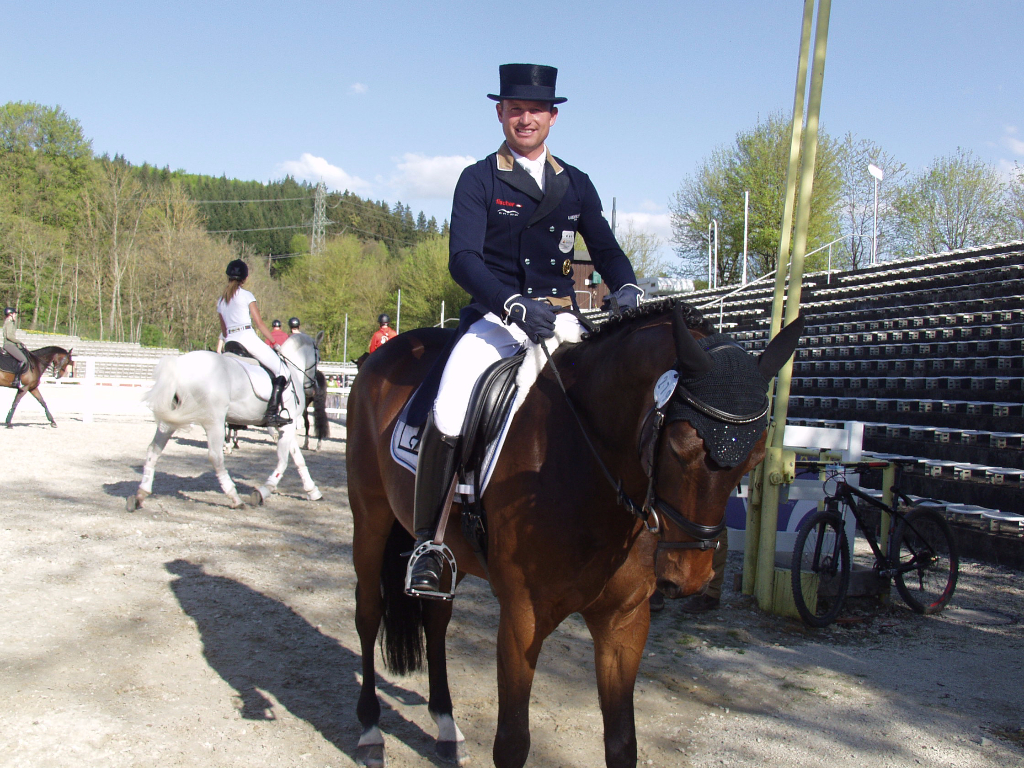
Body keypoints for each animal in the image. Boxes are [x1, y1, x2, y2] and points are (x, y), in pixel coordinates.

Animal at [128, 331, 321, 507]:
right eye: (318, 357)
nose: (312, 388)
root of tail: (179, 367)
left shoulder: (287, 426)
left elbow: (298, 458)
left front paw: (312, 491)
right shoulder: (286, 426)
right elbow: (283, 461)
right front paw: (263, 491)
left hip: (170, 420)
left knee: (154, 450)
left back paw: (140, 495)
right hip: (214, 421)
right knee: (215, 457)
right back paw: (234, 497)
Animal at [348, 301, 802, 768]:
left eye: (756, 457)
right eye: (679, 445)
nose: (689, 577)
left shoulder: (624, 621)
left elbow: (622, 744)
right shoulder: (522, 619)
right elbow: (512, 743)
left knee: (436, 618)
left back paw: (444, 723)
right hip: (370, 518)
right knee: (368, 612)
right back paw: (370, 730)